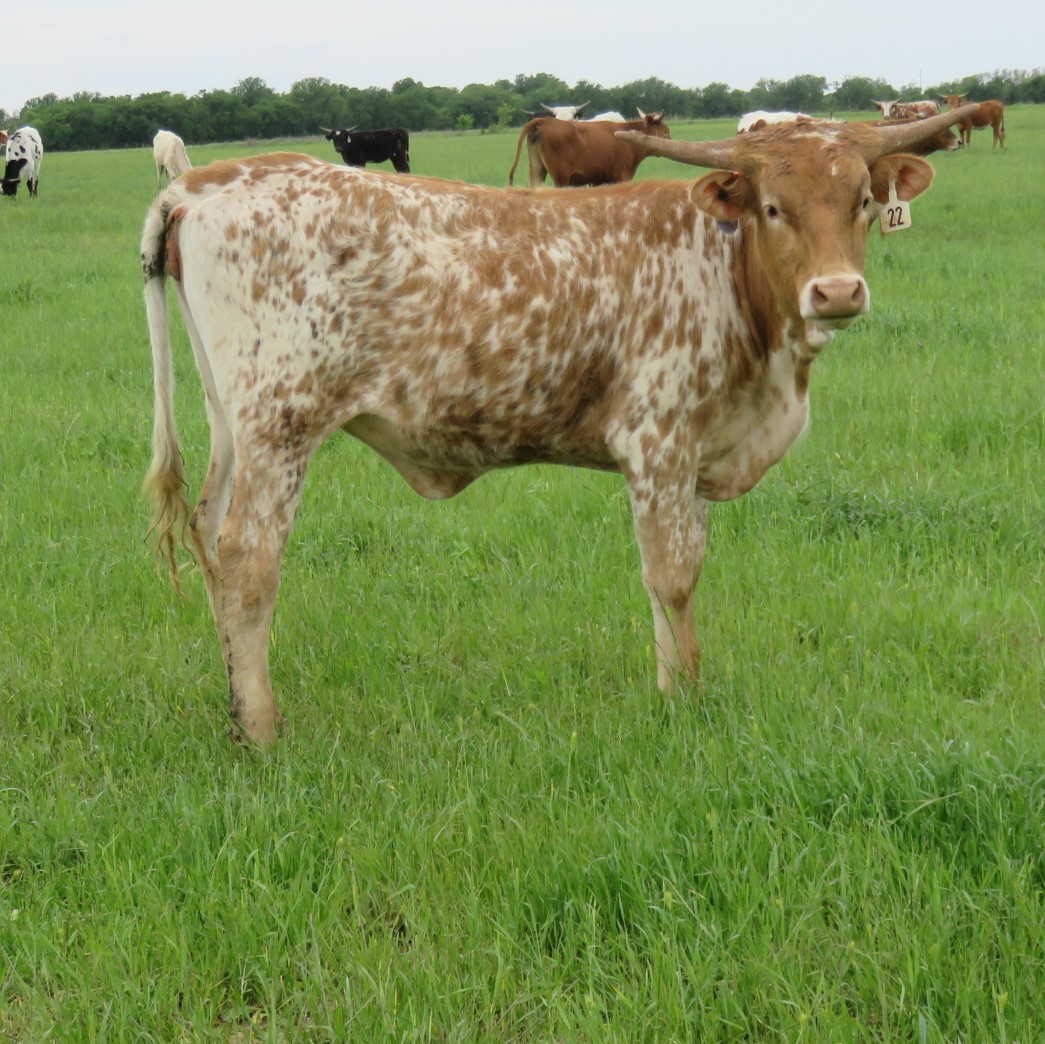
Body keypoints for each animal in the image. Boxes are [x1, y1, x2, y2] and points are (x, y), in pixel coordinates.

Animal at [507, 111, 670, 187]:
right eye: (666, 132)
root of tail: (544, 121)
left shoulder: (601, 179)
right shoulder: (622, 176)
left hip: (537, 169)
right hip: (560, 177)